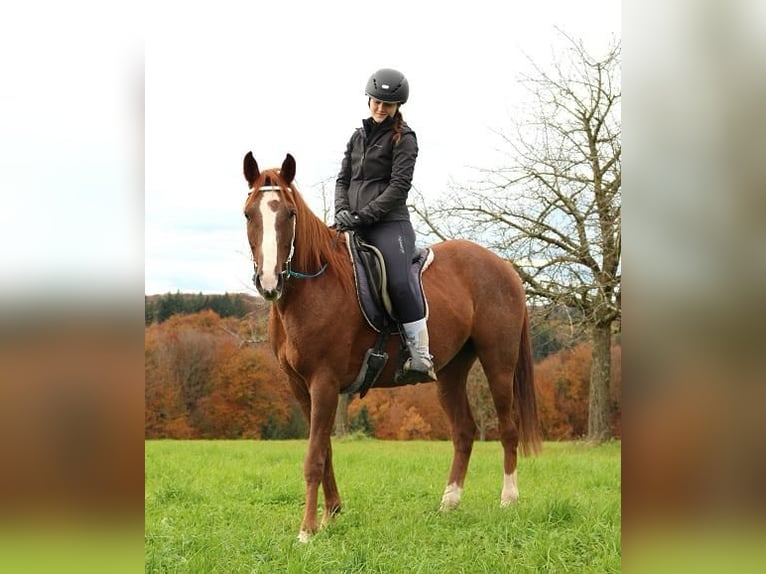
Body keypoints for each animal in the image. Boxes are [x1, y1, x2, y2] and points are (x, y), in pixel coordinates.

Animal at [242, 152, 541, 542]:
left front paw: (307, 530)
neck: (315, 287)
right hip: (451, 372)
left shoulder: (323, 383)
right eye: (249, 214)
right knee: (464, 431)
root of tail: (504, 268)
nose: (269, 281)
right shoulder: (300, 387)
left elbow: (314, 458)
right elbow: (326, 450)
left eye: (289, 214)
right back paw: (449, 502)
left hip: (498, 363)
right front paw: (331, 514)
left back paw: (508, 499)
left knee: (508, 427)